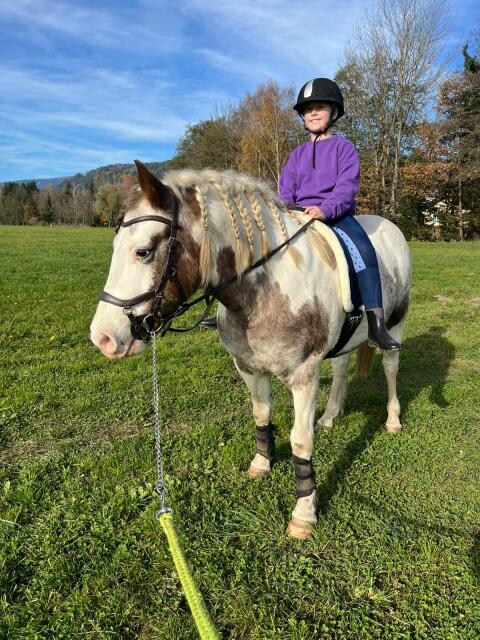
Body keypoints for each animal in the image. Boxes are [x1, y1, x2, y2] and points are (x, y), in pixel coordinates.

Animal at [90, 161, 411, 540]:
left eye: (144, 252)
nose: (103, 337)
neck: (264, 290)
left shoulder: (304, 375)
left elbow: (301, 440)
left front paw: (304, 513)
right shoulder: (248, 367)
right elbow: (261, 415)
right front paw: (262, 462)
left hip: (395, 324)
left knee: (390, 367)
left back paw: (392, 420)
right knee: (342, 368)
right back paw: (331, 416)